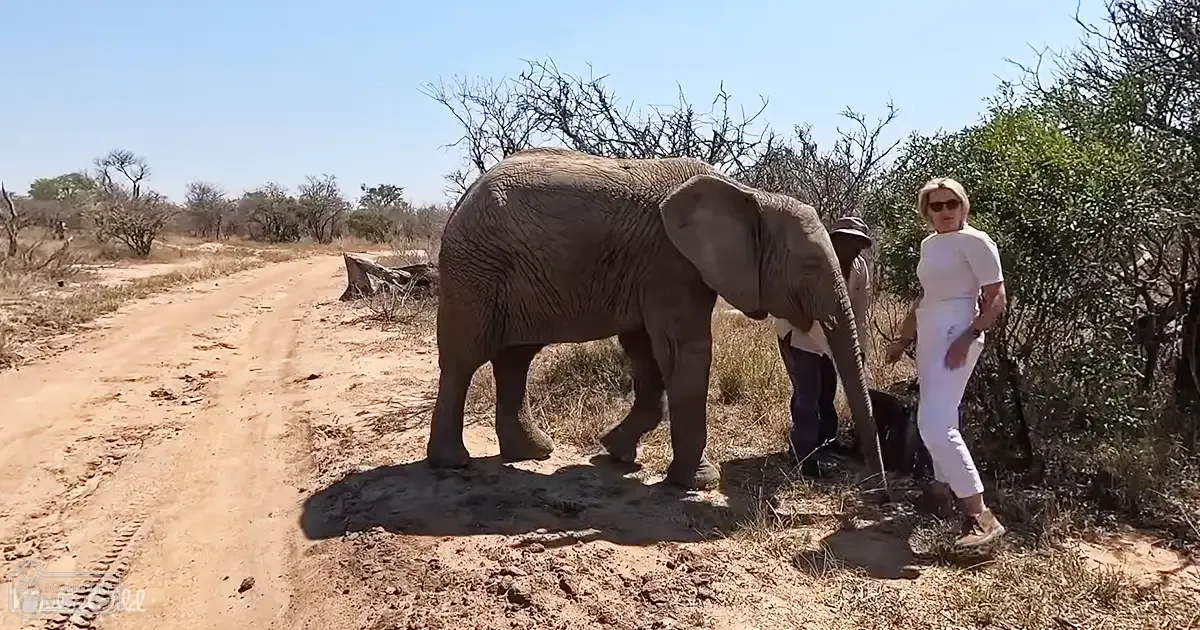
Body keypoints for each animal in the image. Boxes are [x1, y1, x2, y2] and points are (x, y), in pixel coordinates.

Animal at [426, 147, 885, 490]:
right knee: (464, 359)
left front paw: (615, 452)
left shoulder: (652, 274)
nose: (877, 486)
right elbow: (685, 351)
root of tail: (464, 196)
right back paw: (453, 463)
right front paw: (697, 482)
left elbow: (648, 354)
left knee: (515, 358)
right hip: (475, 269)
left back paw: (533, 453)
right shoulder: (671, 264)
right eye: (809, 266)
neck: (750, 195)